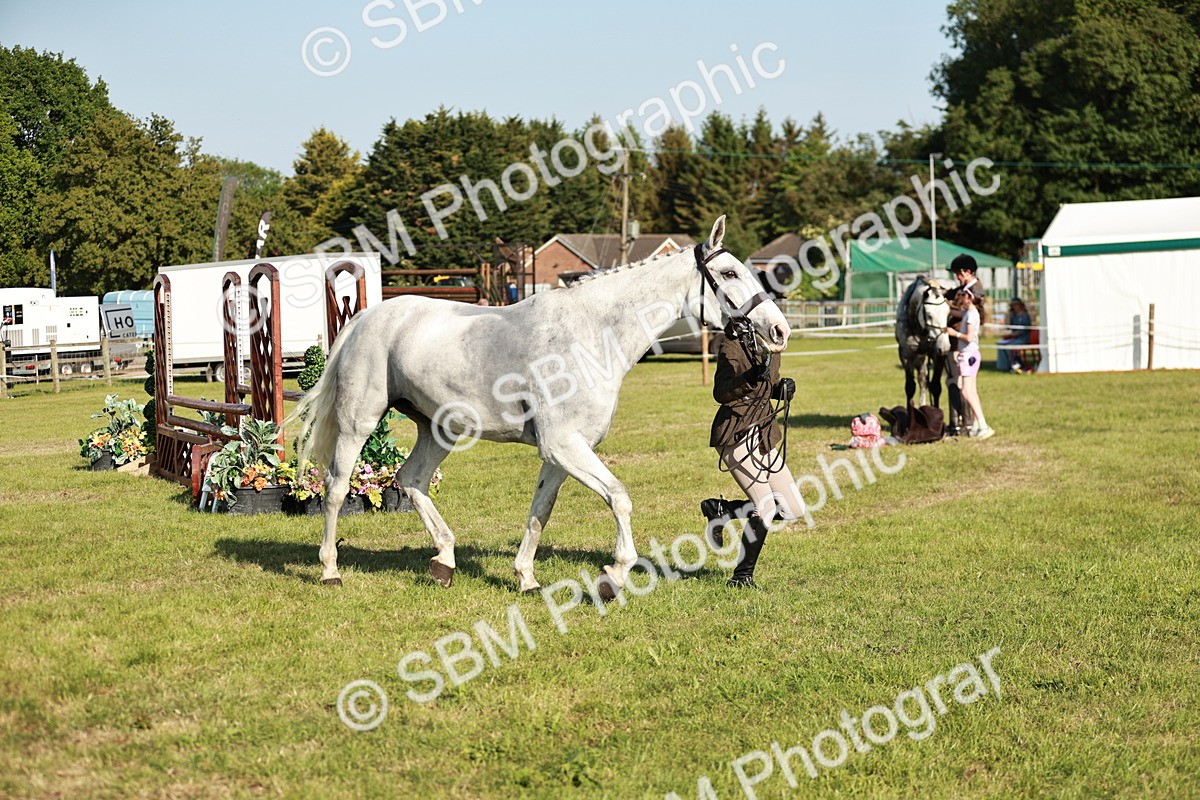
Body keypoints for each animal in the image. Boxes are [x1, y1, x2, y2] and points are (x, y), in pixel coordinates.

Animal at [288, 216, 791, 596]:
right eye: (730, 274)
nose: (779, 330)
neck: (592, 335)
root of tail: (364, 318)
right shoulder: (564, 446)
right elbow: (619, 498)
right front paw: (614, 575)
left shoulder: (561, 453)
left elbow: (539, 514)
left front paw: (526, 578)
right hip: (359, 422)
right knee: (336, 488)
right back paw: (330, 570)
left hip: (439, 428)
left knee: (411, 480)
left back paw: (445, 561)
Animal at [895, 275, 951, 409]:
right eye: (929, 315)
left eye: (948, 313)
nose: (945, 347)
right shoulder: (906, 356)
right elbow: (910, 387)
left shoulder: (938, 355)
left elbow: (935, 387)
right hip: (920, 358)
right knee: (922, 380)